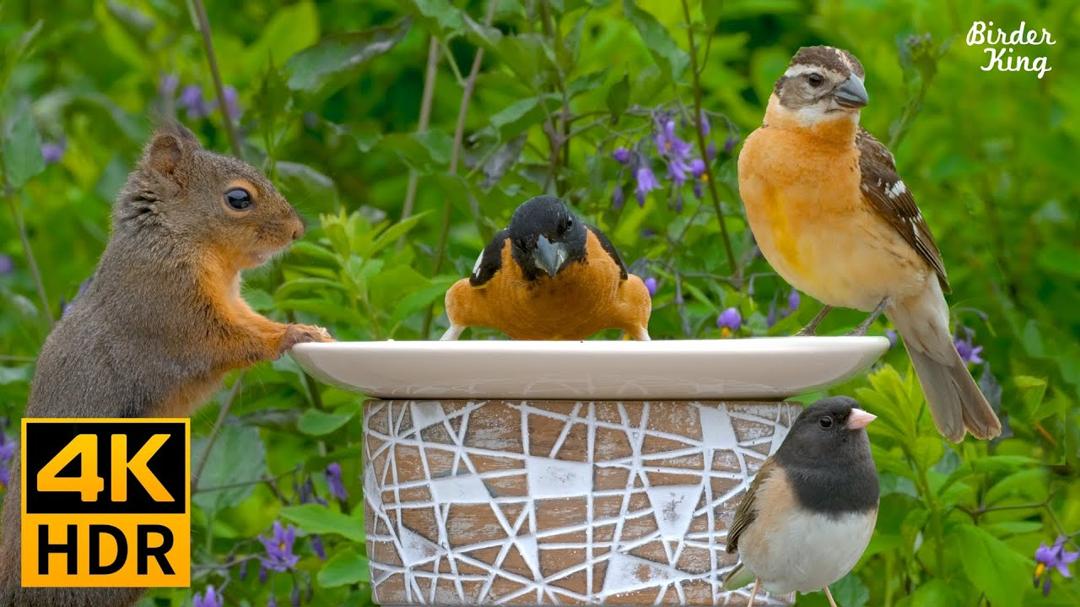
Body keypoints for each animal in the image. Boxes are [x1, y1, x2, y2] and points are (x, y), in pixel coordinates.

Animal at [0, 124, 332, 607]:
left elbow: (253, 322)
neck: (177, 239)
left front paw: (304, 327)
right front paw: (290, 336)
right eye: (238, 198)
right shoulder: (174, 312)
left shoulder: (232, 303)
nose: (296, 231)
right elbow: (235, 340)